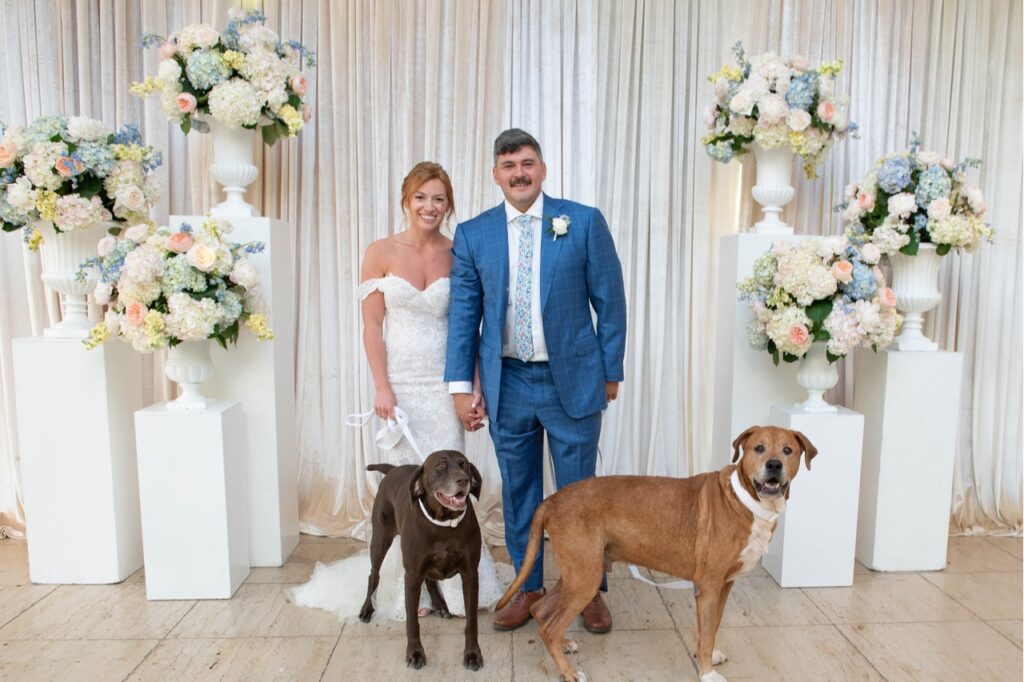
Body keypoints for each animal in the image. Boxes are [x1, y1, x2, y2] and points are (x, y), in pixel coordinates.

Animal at [495, 421, 815, 675]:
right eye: (759, 448)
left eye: (788, 450)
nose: (774, 465)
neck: (746, 500)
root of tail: (552, 499)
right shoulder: (709, 587)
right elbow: (708, 631)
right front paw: (707, 673)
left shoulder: (722, 587)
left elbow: (709, 628)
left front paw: (706, 656)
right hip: (585, 577)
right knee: (550, 626)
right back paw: (570, 673)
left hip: (580, 572)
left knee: (541, 611)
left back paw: (563, 645)